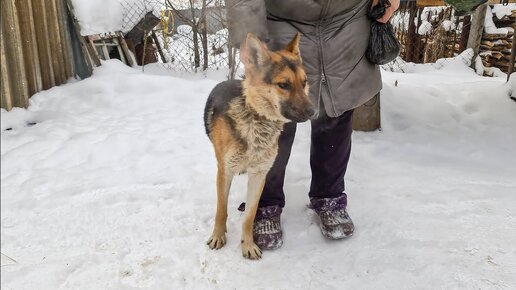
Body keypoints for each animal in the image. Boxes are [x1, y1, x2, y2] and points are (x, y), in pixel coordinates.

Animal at [203, 32, 314, 260]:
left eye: (304, 82)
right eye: (283, 85)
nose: (313, 112)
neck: (255, 119)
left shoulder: (259, 175)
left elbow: (250, 216)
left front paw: (248, 245)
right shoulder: (225, 172)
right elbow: (221, 209)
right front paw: (218, 235)